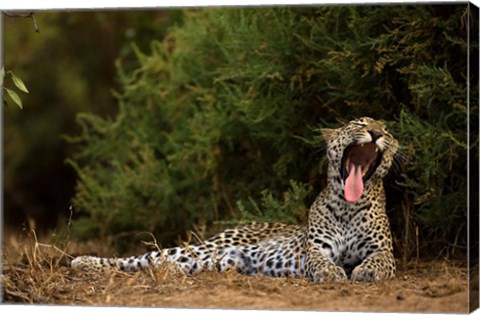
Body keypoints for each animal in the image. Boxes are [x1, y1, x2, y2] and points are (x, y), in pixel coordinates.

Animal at [71, 116, 398, 284]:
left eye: (388, 130)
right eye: (359, 123)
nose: (376, 132)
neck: (348, 204)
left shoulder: (383, 250)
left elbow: (380, 261)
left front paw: (366, 271)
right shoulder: (317, 248)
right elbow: (321, 262)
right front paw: (332, 273)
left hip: (213, 260)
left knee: (160, 263)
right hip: (207, 246)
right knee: (140, 258)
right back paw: (82, 261)